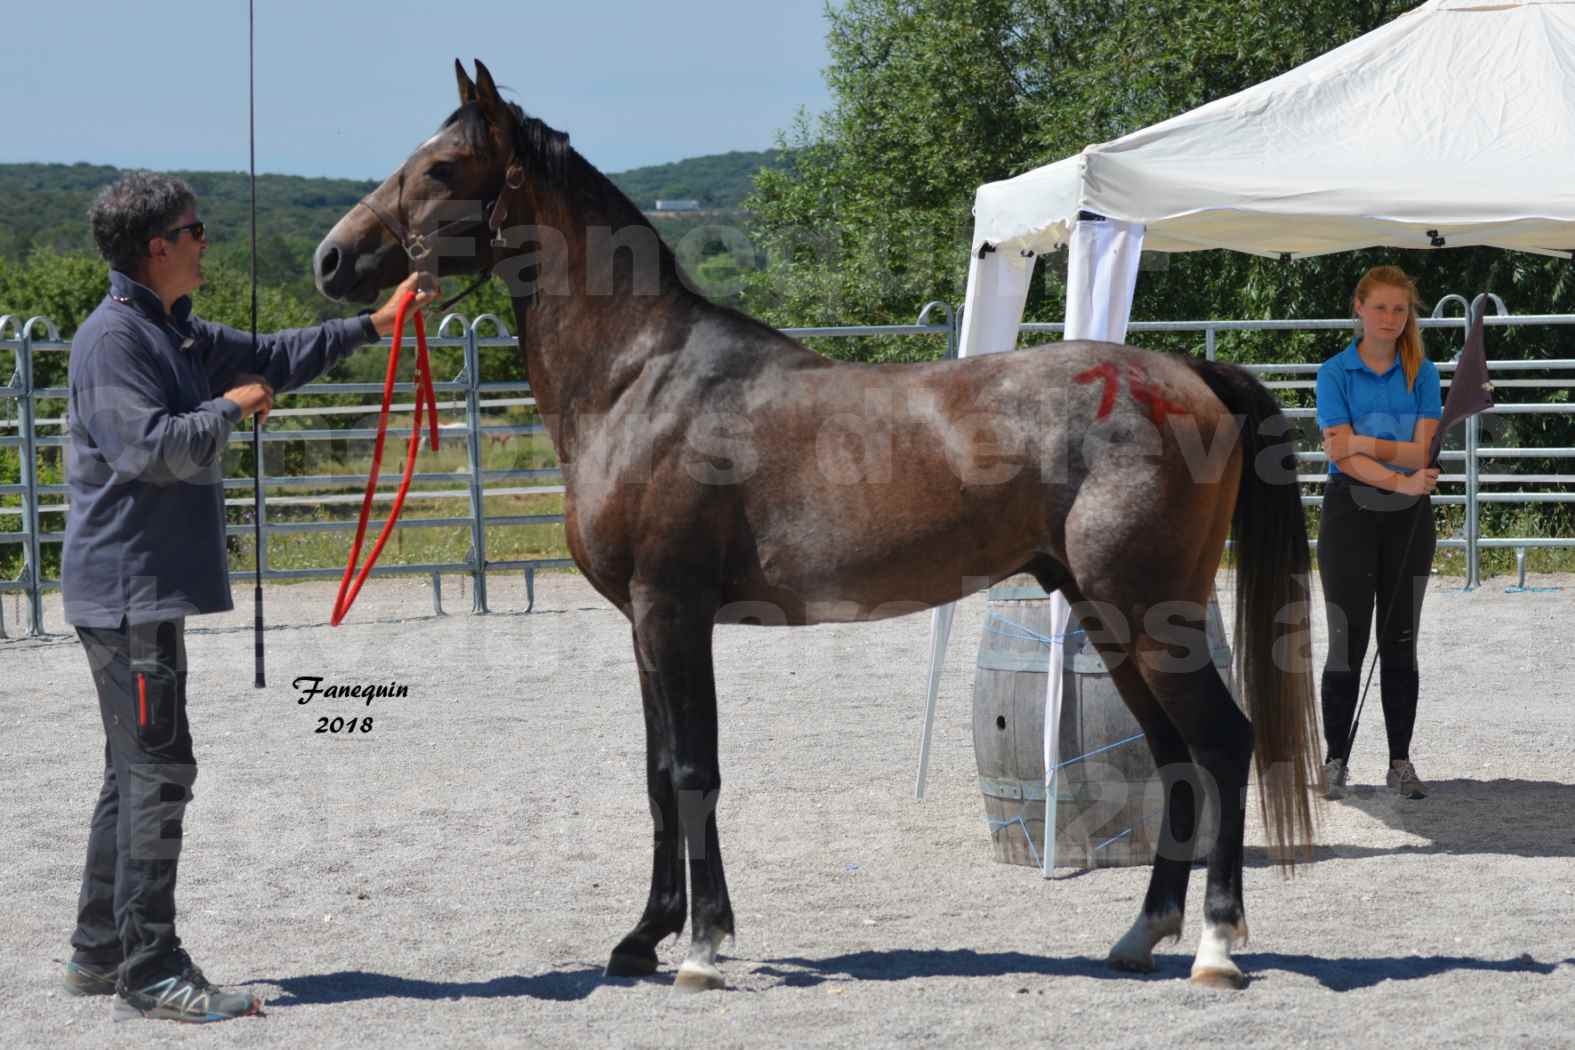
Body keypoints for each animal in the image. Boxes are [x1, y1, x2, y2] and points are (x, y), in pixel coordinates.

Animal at [313, 57, 1323, 994]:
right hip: (1110, 618)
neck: (639, 377)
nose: (332, 259)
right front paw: (644, 939)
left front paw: (701, 948)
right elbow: (659, 774)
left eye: (442, 166)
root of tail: (1186, 373)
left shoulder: (672, 611)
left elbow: (694, 772)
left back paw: (1216, 948)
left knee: (1221, 746)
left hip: (1148, 615)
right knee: (1172, 755)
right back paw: (1139, 935)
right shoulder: (644, 624)